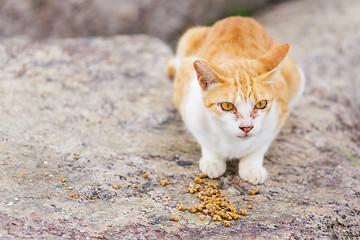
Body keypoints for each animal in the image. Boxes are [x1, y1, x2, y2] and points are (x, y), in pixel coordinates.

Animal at [168, 16, 304, 186]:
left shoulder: (279, 114)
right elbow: (204, 139)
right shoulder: (186, 102)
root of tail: (239, 17)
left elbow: (261, 143)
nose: (247, 127)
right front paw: (213, 160)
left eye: (261, 104)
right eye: (227, 106)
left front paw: (252, 166)